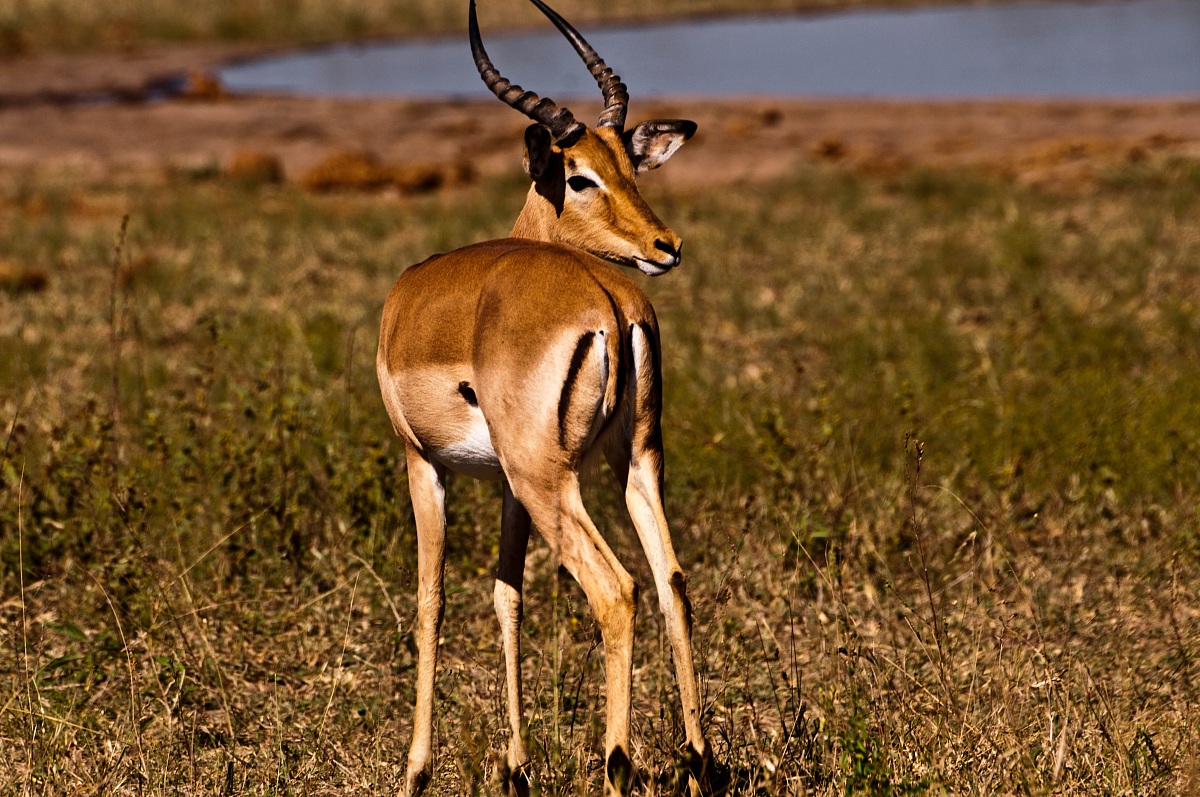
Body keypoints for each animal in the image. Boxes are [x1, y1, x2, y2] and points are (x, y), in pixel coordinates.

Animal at [376, 1, 712, 794]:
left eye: (627, 166)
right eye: (582, 175)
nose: (666, 244)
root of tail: (611, 304)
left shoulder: (422, 463)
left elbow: (431, 600)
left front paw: (416, 771)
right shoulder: (506, 483)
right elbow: (508, 596)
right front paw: (517, 766)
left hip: (550, 479)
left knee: (617, 590)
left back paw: (618, 765)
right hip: (634, 461)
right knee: (672, 579)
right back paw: (698, 762)